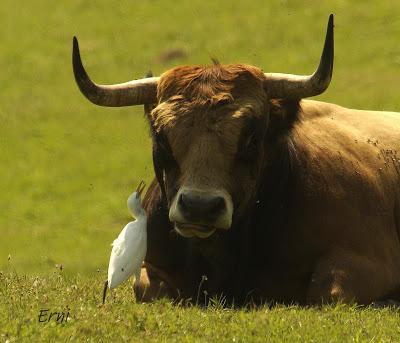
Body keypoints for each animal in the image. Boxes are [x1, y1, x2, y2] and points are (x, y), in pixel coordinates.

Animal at [72, 15, 400, 306]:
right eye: (161, 137)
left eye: (252, 138)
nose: (199, 206)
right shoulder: (151, 268)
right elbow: (148, 289)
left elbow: (328, 293)